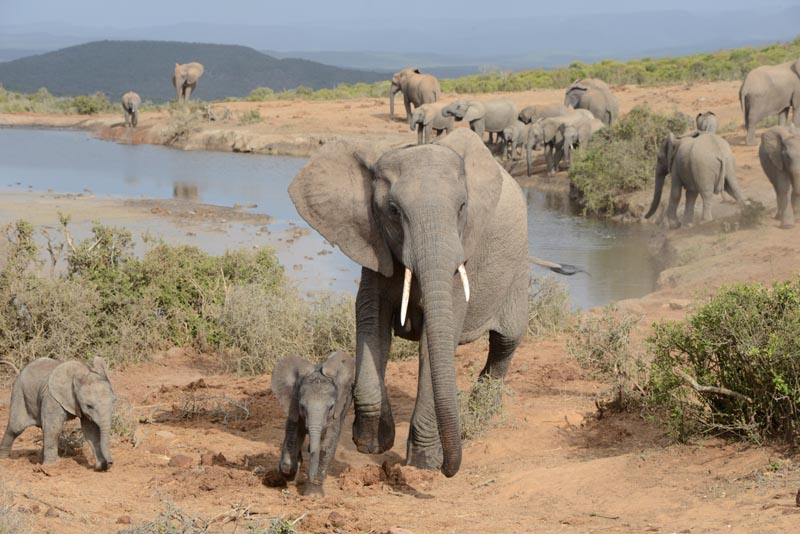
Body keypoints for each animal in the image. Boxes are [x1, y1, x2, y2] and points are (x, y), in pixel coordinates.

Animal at [272, 352, 354, 498]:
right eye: (302, 406)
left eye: (331, 407)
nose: (310, 478)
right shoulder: (293, 405)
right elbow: (292, 438)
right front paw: (289, 476)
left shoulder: (337, 411)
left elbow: (326, 446)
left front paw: (313, 495)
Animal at [289, 129, 529, 477]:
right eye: (393, 211)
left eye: (462, 207)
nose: (448, 469)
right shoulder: (374, 246)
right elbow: (371, 324)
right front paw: (371, 443)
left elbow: (433, 341)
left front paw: (424, 464)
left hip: (518, 265)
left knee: (506, 341)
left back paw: (483, 411)